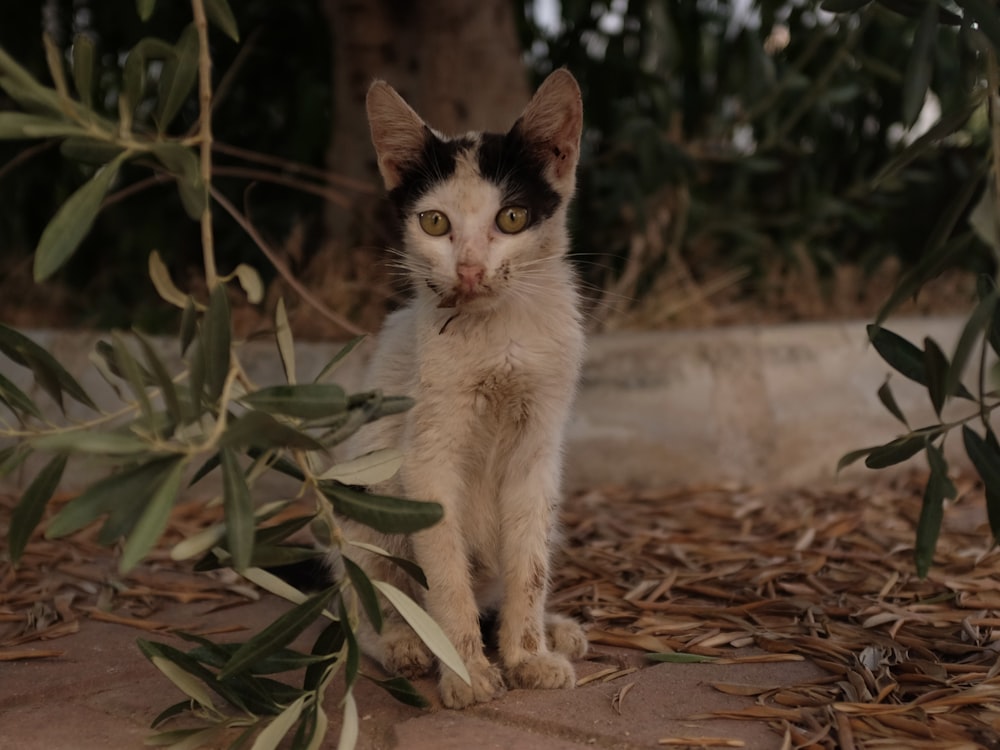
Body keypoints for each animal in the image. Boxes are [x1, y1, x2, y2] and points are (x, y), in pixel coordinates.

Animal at [336, 69, 584, 712]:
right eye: (435, 223)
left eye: (513, 218)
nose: (470, 269)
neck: (498, 335)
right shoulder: (427, 459)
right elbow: (446, 578)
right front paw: (467, 671)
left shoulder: (539, 452)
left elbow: (530, 567)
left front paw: (527, 655)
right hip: (362, 505)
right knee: (365, 604)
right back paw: (404, 643)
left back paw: (557, 629)